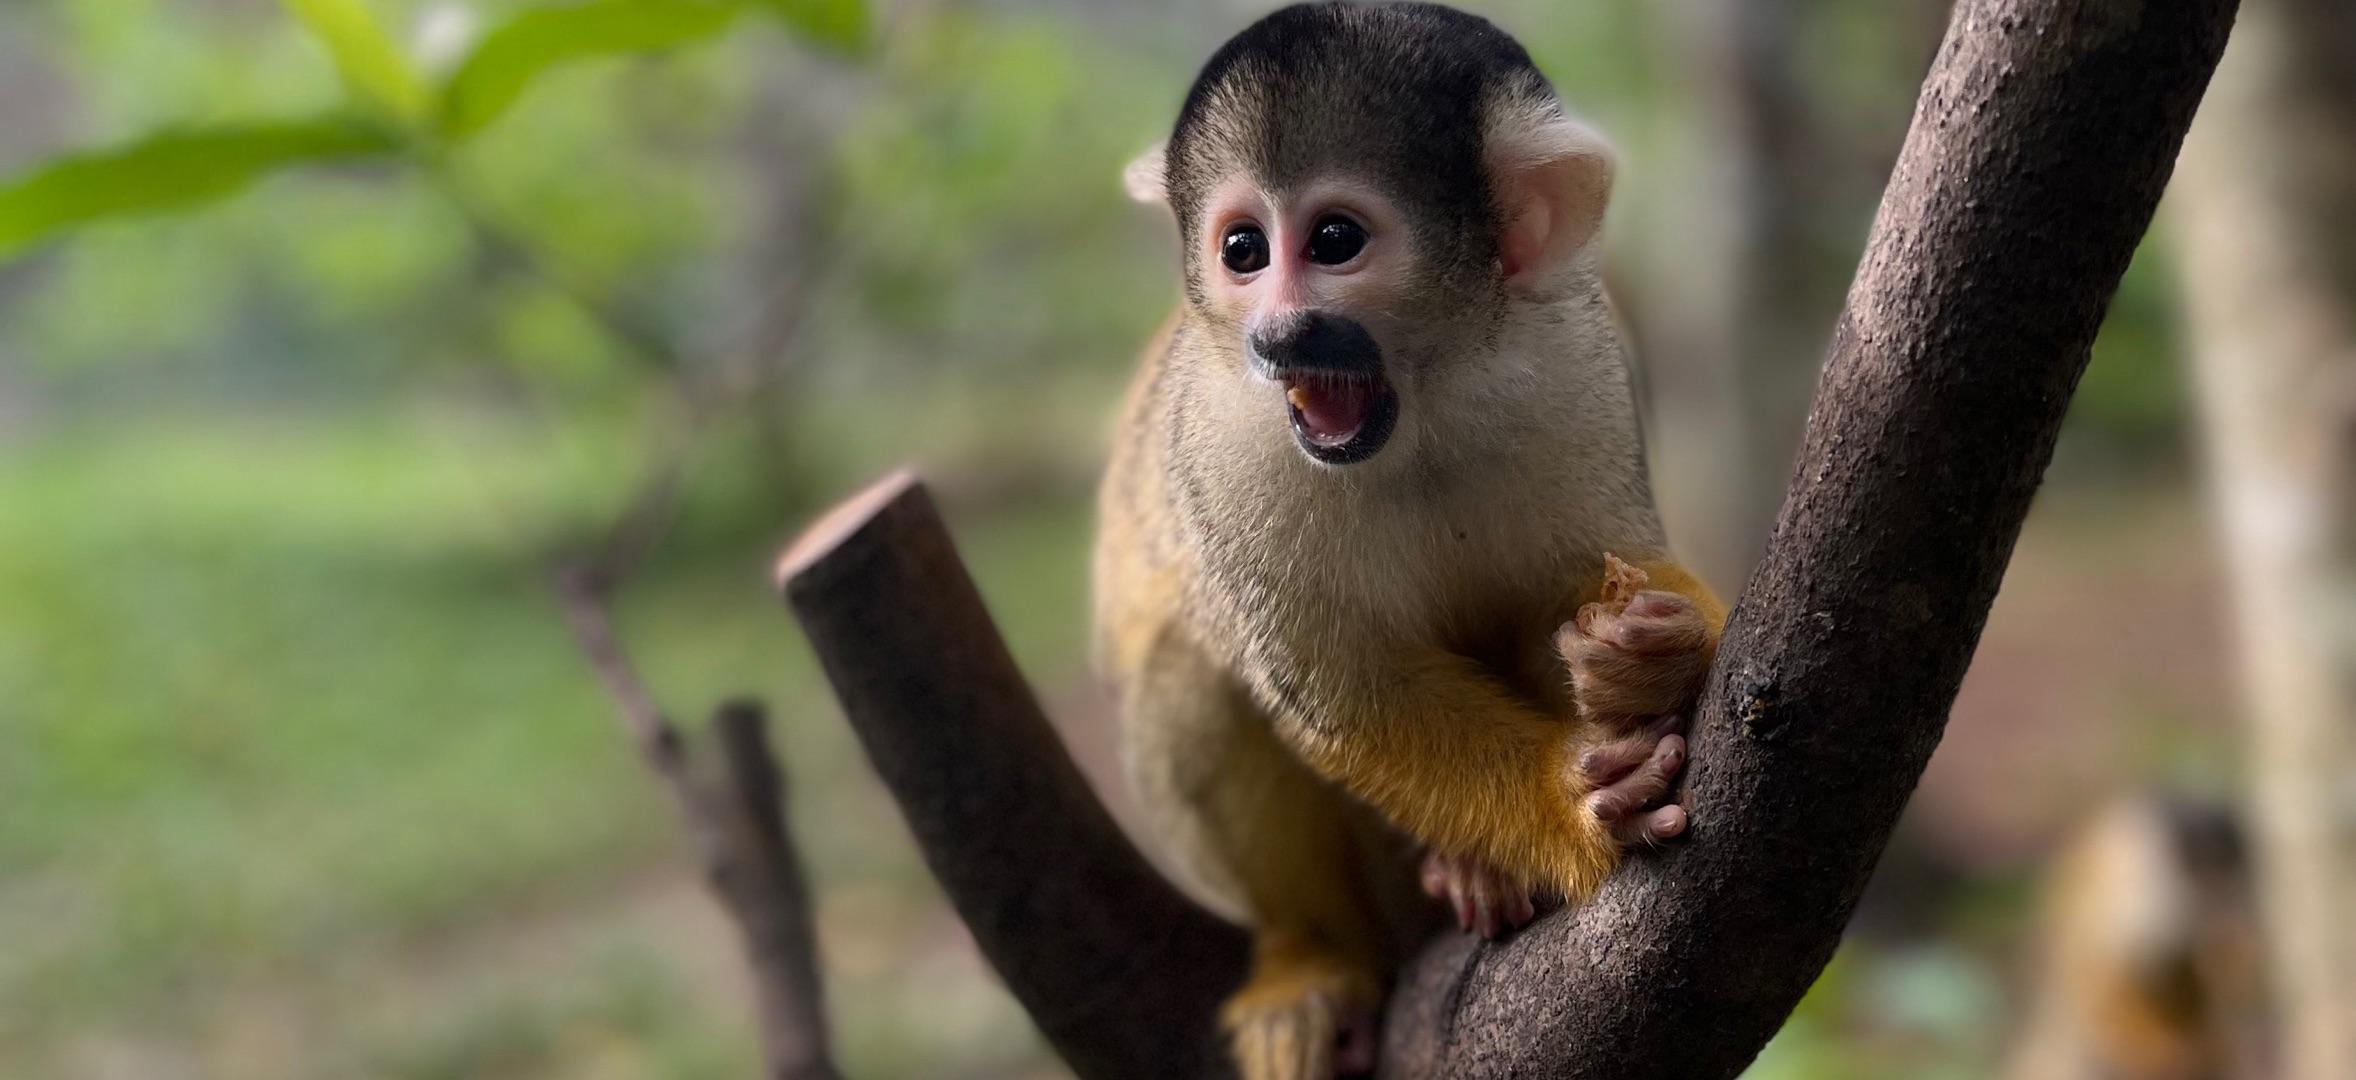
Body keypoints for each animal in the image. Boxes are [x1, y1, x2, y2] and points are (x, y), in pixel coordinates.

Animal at [1093, 4, 1724, 1075]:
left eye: (1335, 240)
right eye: (1243, 250)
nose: (1278, 335)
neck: (1418, 404)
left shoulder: (1572, 358)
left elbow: (1578, 586)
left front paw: (1654, 654)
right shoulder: (1228, 440)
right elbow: (1343, 690)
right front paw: (1570, 801)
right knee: (1192, 673)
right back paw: (1313, 956)